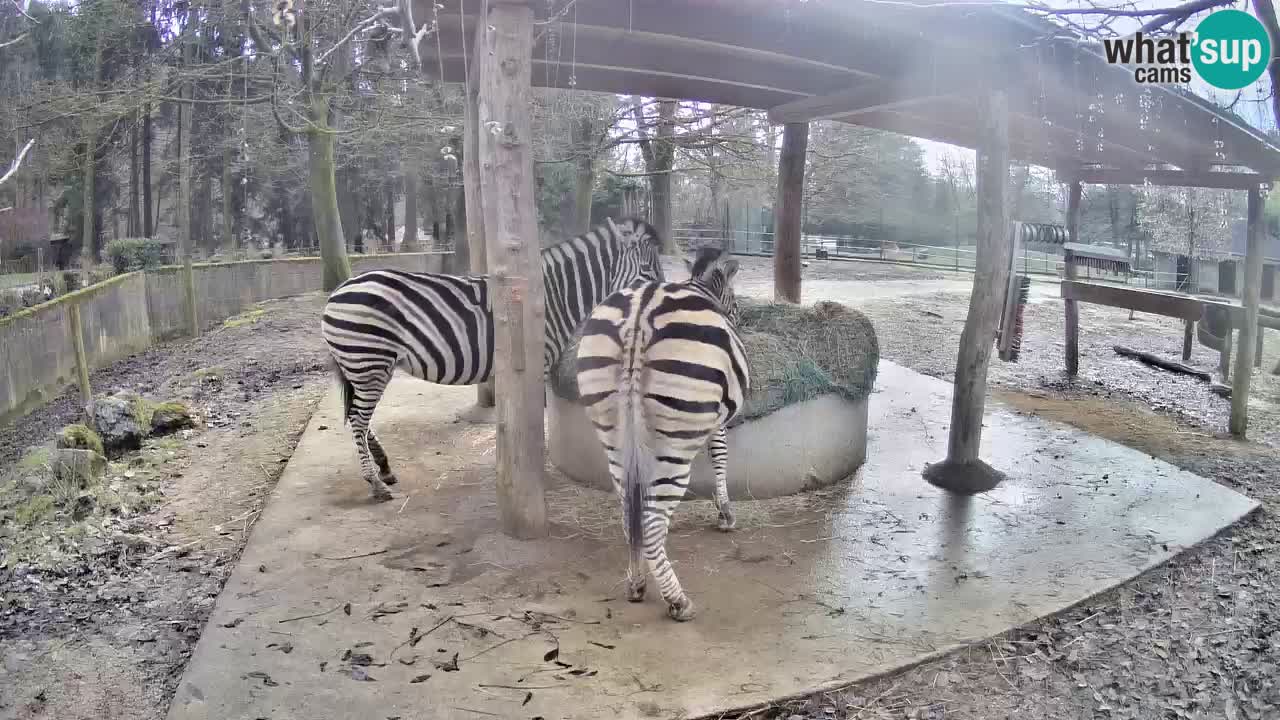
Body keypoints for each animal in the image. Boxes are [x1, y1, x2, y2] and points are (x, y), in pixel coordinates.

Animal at [320, 215, 665, 502]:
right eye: (648, 272)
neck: (554, 297)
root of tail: (338, 290)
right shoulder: (537, 364)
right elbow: (534, 419)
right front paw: (534, 471)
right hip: (369, 362)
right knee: (358, 419)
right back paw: (375, 483)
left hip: (368, 366)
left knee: (358, 416)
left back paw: (384, 469)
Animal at [573, 244, 747, 617]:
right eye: (735, 300)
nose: (740, 318)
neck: (701, 288)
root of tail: (639, 314)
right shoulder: (717, 418)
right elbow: (720, 455)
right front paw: (725, 513)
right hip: (672, 446)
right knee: (651, 520)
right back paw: (677, 600)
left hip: (614, 437)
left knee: (631, 510)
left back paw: (636, 583)